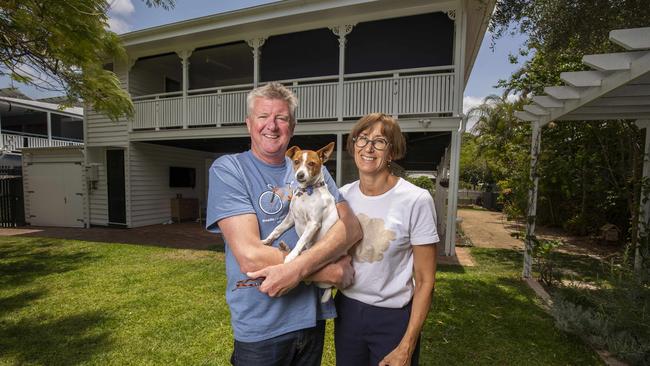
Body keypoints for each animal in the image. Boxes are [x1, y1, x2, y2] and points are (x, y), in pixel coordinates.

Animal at [260, 142, 336, 302]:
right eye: (296, 162)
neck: (306, 193)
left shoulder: (313, 224)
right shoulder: (291, 219)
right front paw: (267, 240)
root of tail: (331, 287)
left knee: (307, 277)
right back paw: (284, 247)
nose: (300, 175)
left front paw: (292, 256)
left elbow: (300, 241)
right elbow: (277, 230)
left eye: (311, 164)